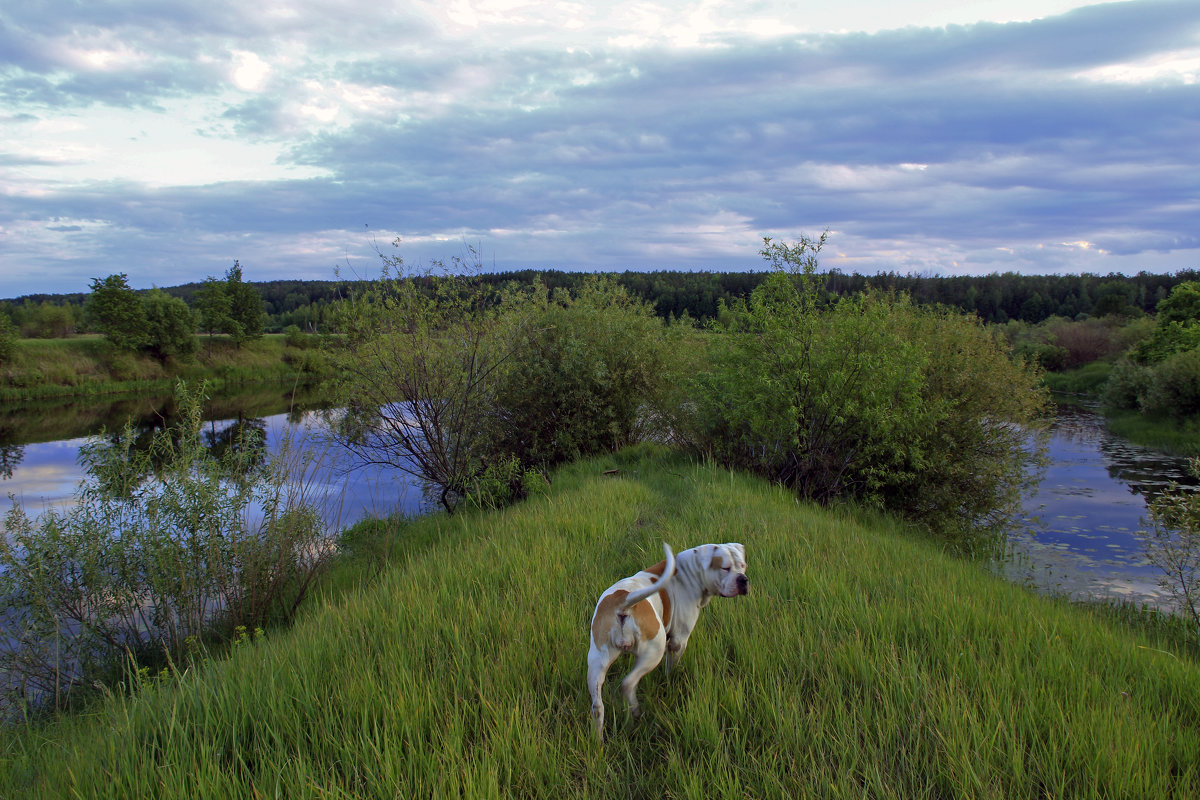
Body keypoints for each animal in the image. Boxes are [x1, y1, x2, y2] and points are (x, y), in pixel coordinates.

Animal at [583, 544, 744, 738]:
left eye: (742, 565)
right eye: (725, 568)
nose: (743, 579)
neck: (692, 570)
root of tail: (624, 603)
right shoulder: (678, 641)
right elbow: (671, 666)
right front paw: (670, 680)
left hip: (597, 663)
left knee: (598, 706)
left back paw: (598, 738)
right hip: (654, 651)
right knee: (628, 684)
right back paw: (636, 712)